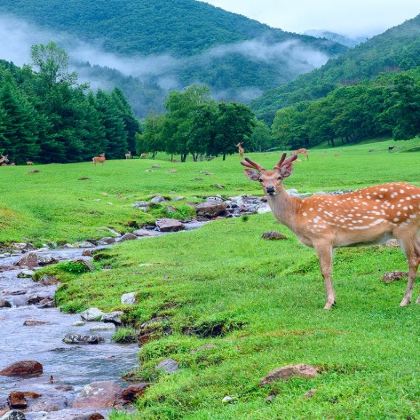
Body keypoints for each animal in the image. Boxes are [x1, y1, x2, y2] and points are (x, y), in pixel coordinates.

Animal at [243, 153, 420, 308]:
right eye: (261, 179)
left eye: (279, 177)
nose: (270, 188)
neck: (297, 214)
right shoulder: (331, 243)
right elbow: (329, 270)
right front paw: (333, 300)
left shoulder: (322, 236)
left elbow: (325, 270)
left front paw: (329, 303)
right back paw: (416, 300)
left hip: (405, 228)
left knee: (413, 260)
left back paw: (405, 300)